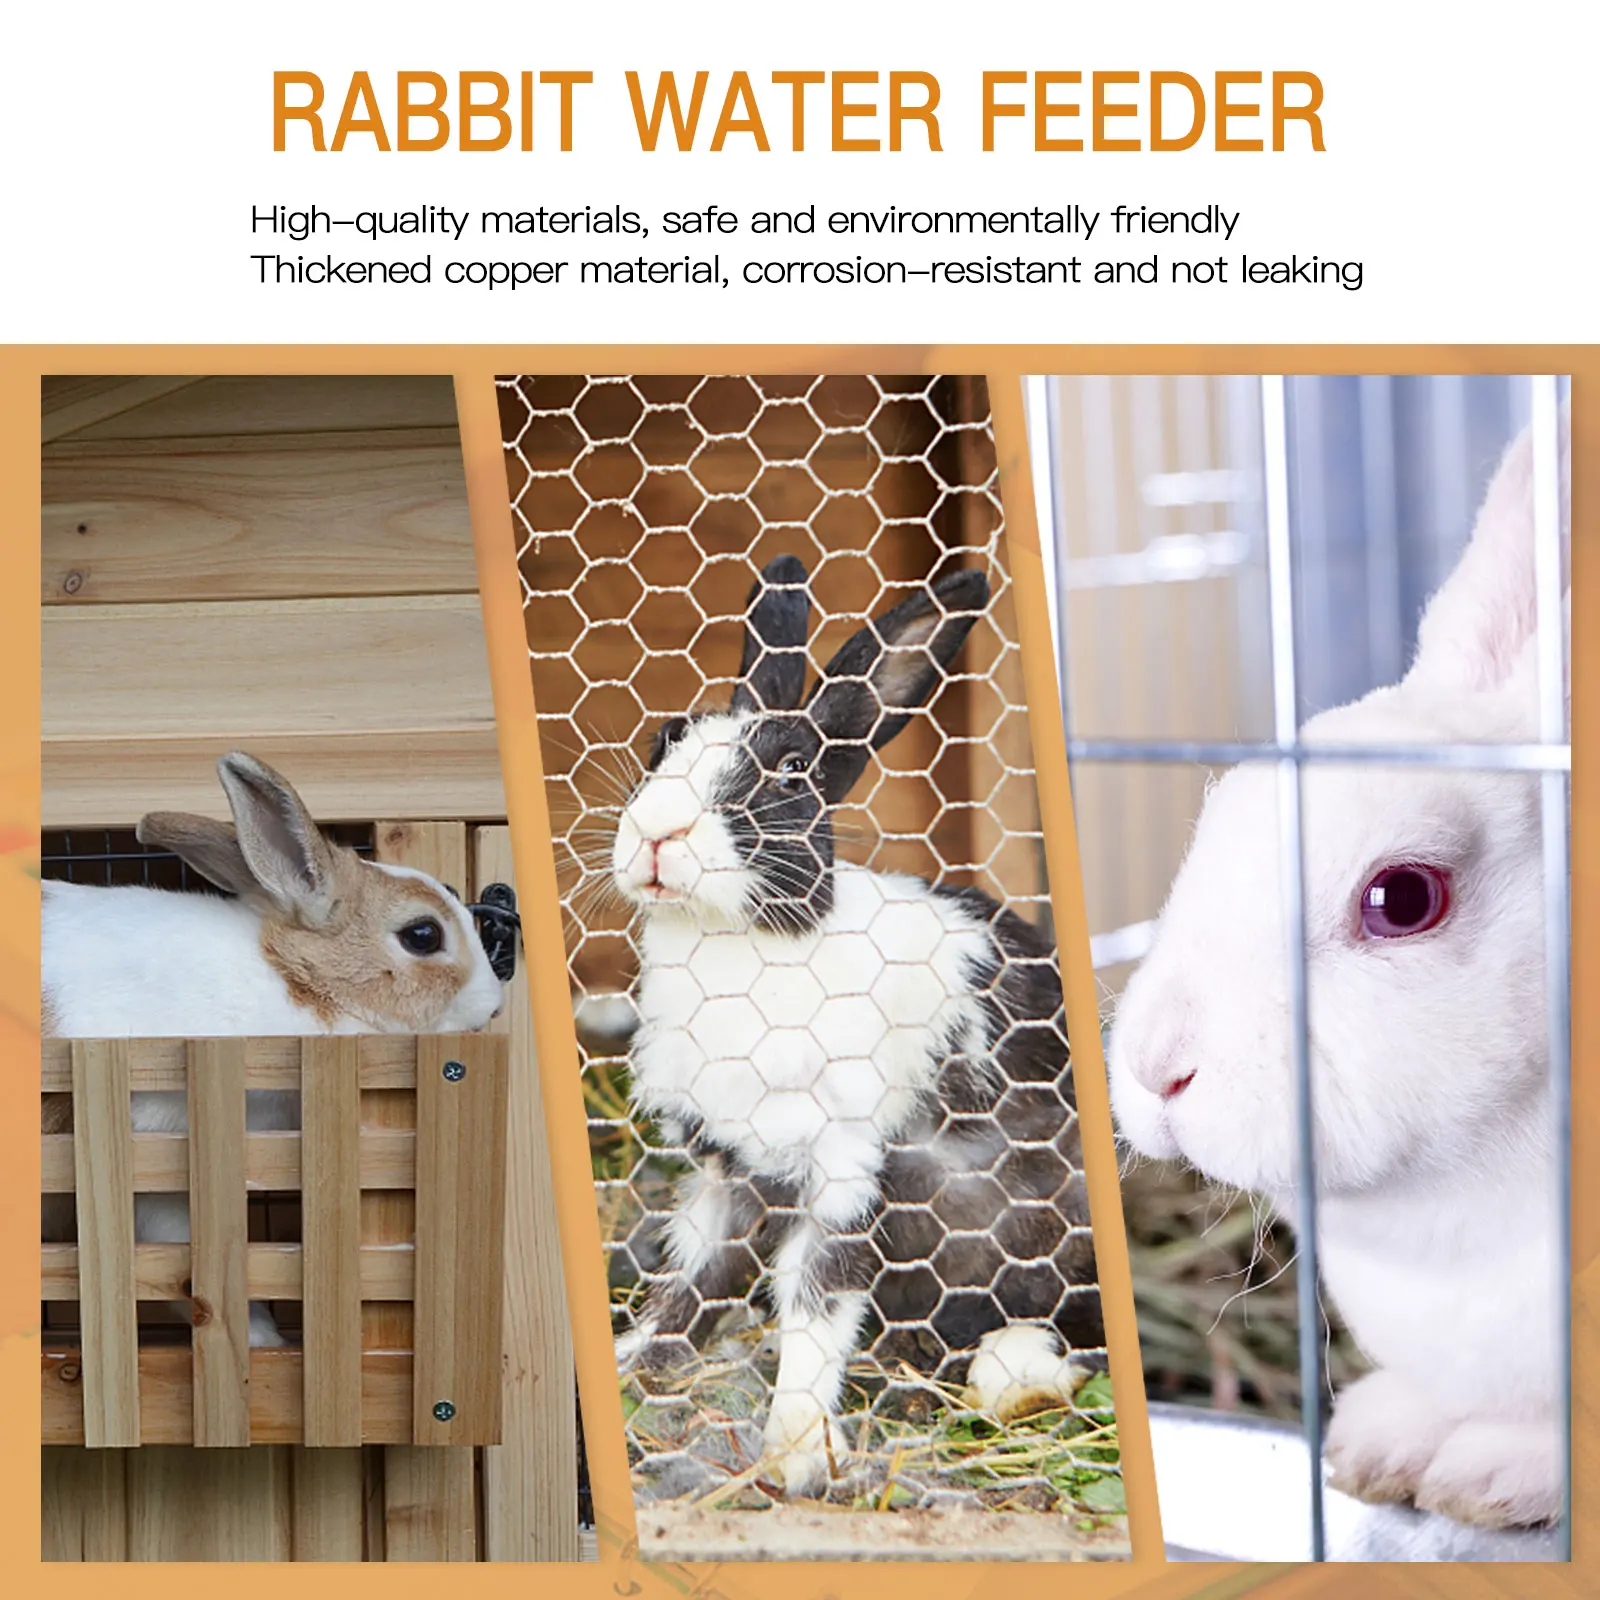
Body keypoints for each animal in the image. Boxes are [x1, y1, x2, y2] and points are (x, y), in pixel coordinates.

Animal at [610, 554, 1100, 1496]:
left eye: (793, 767)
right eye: (664, 739)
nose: (656, 835)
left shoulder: (845, 1173)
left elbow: (815, 1306)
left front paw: (794, 1455)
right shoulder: (726, 1181)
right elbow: (689, 1285)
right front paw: (628, 1369)